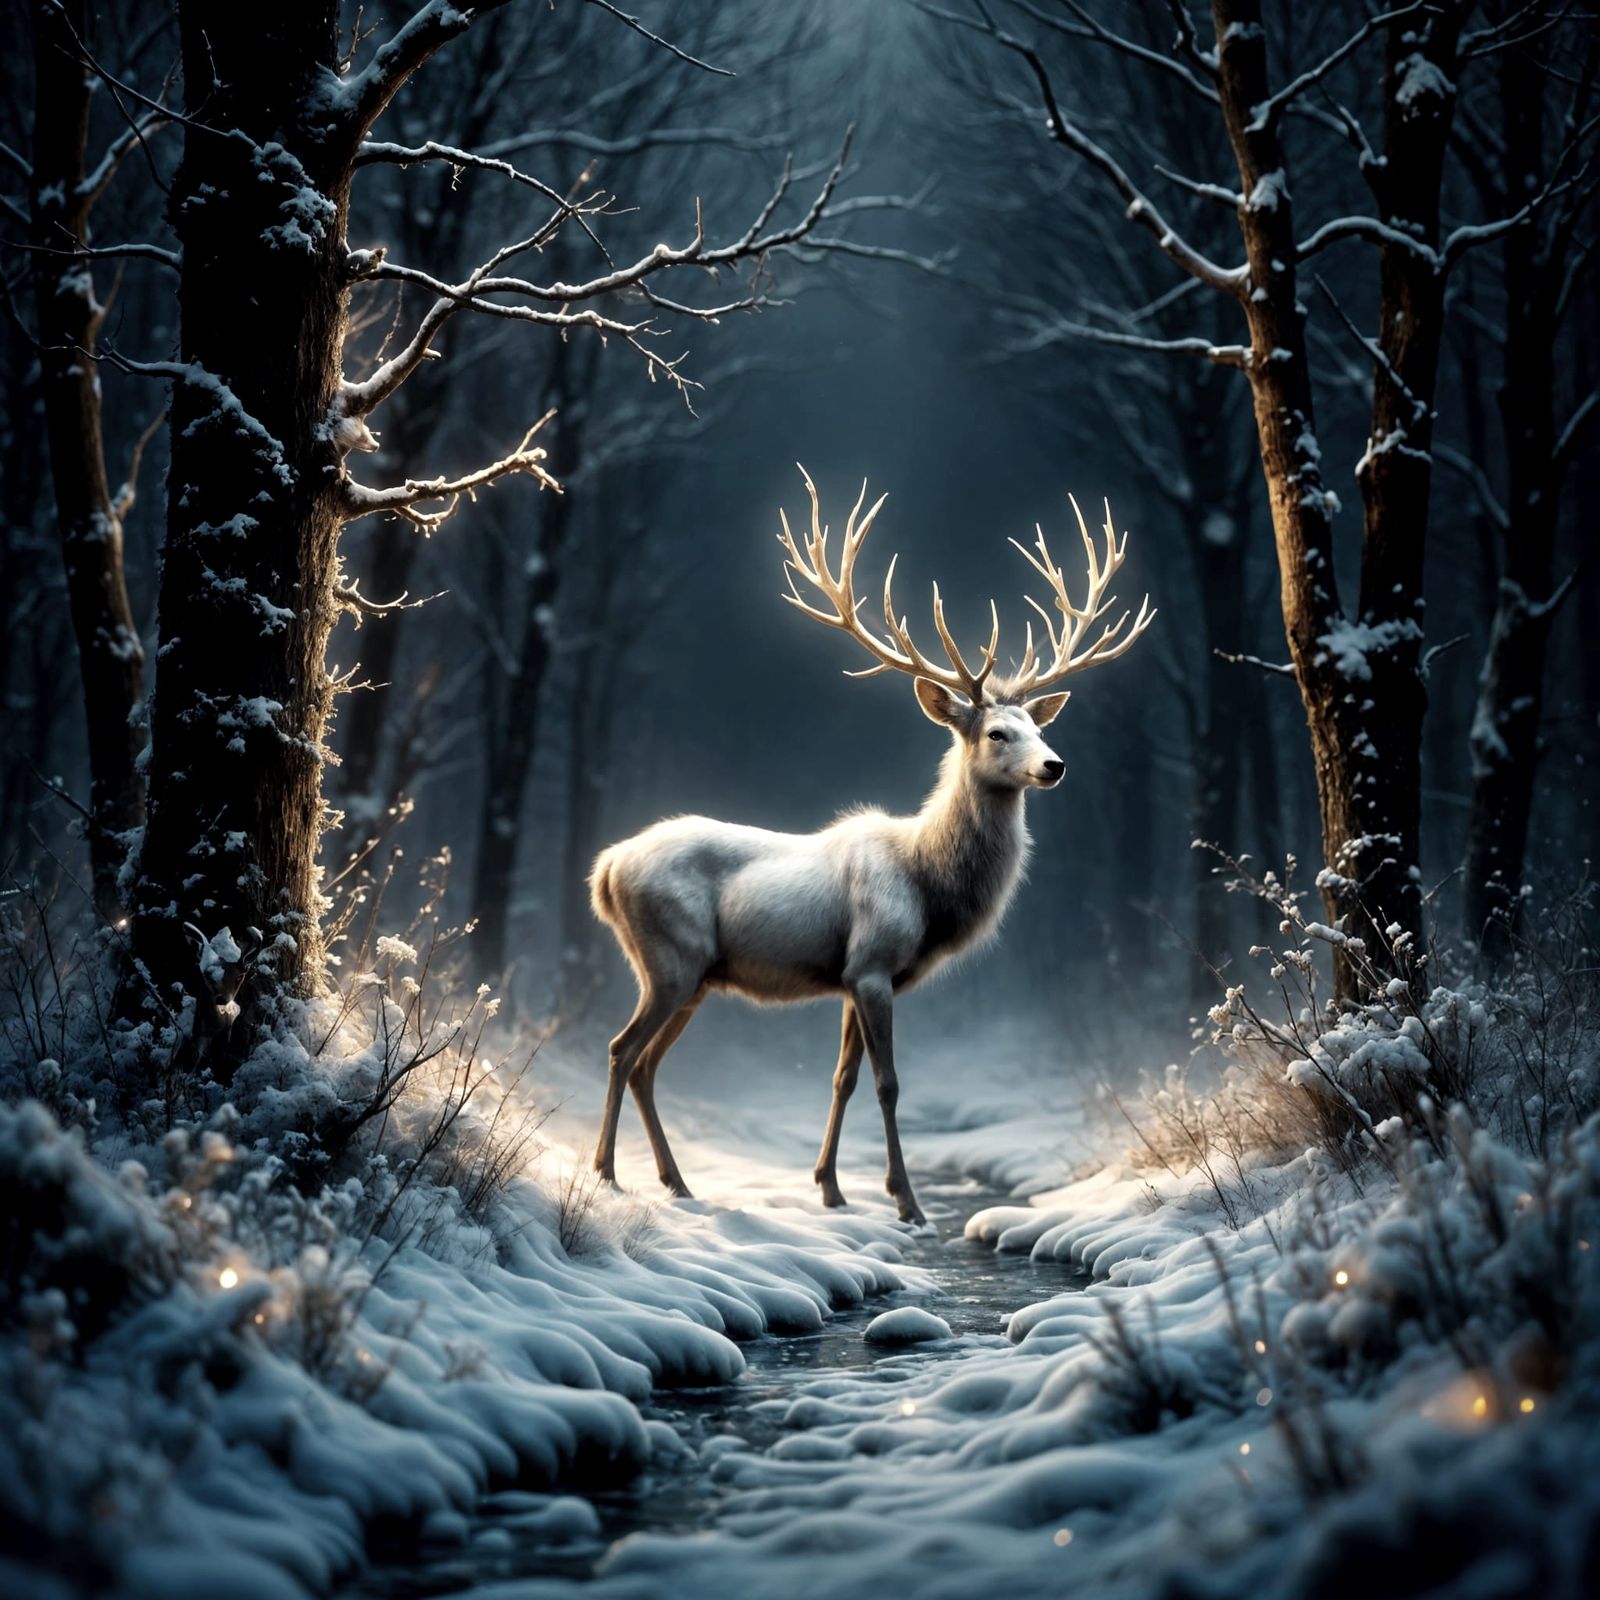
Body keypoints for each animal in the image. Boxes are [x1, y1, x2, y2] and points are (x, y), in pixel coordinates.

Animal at [589, 468, 1154, 1224]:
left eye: (1039, 726)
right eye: (997, 733)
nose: (1054, 765)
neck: (928, 887)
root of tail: (606, 868)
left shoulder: (854, 974)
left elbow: (842, 1079)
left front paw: (830, 1188)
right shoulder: (873, 963)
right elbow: (888, 1083)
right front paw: (906, 1202)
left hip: (696, 975)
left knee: (647, 1064)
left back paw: (677, 1182)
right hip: (669, 957)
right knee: (622, 1051)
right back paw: (607, 1172)